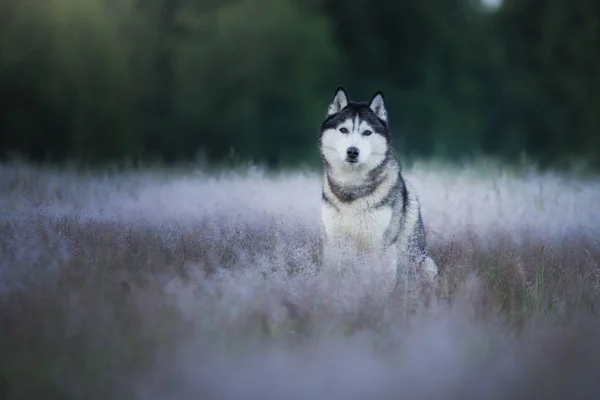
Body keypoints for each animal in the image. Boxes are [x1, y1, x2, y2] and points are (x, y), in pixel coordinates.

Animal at [316, 86, 438, 290]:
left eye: (367, 132)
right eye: (343, 130)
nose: (352, 151)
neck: (352, 187)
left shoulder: (381, 245)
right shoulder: (334, 243)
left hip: (426, 265)